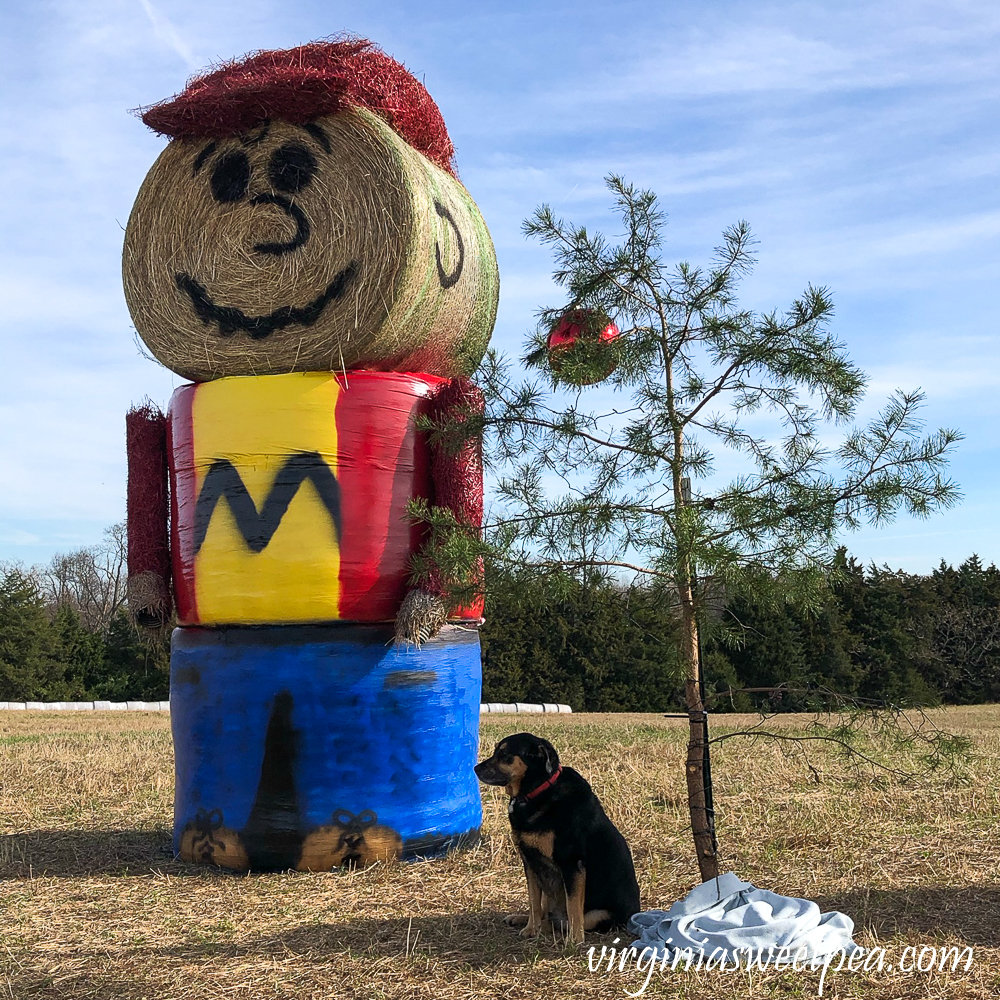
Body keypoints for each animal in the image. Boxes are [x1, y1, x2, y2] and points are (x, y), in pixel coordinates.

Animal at [476, 732, 640, 940]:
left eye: (505, 754)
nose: (475, 769)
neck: (537, 791)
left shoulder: (572, 864)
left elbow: (573, 908)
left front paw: (574, 941)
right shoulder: (530, 862)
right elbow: (533, 902)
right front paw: (530, 928)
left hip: (599, 915)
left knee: (563, 922)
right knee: (549, 915)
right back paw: (522, 919)